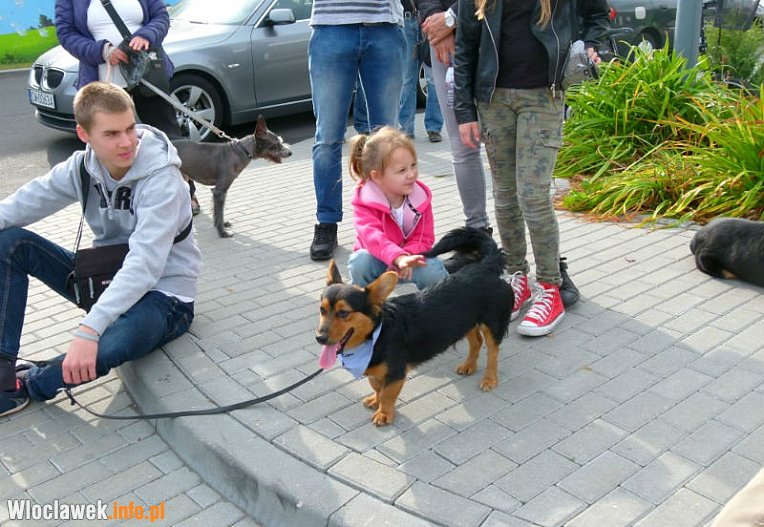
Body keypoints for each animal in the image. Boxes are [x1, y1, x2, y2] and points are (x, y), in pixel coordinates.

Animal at [315, 227, 513, 426]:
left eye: (343, 313)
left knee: (492, 353)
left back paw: (489, 379)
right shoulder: (377, 372)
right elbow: (377, 387)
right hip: (465, 322)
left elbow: (387, 394)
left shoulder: (396, 373)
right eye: (322, 310)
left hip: (493, 325)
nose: (320, 338)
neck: (378, 333)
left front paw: (384, 413)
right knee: (476, 342)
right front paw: (375, 400)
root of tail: (486, 267)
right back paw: (469, 365)